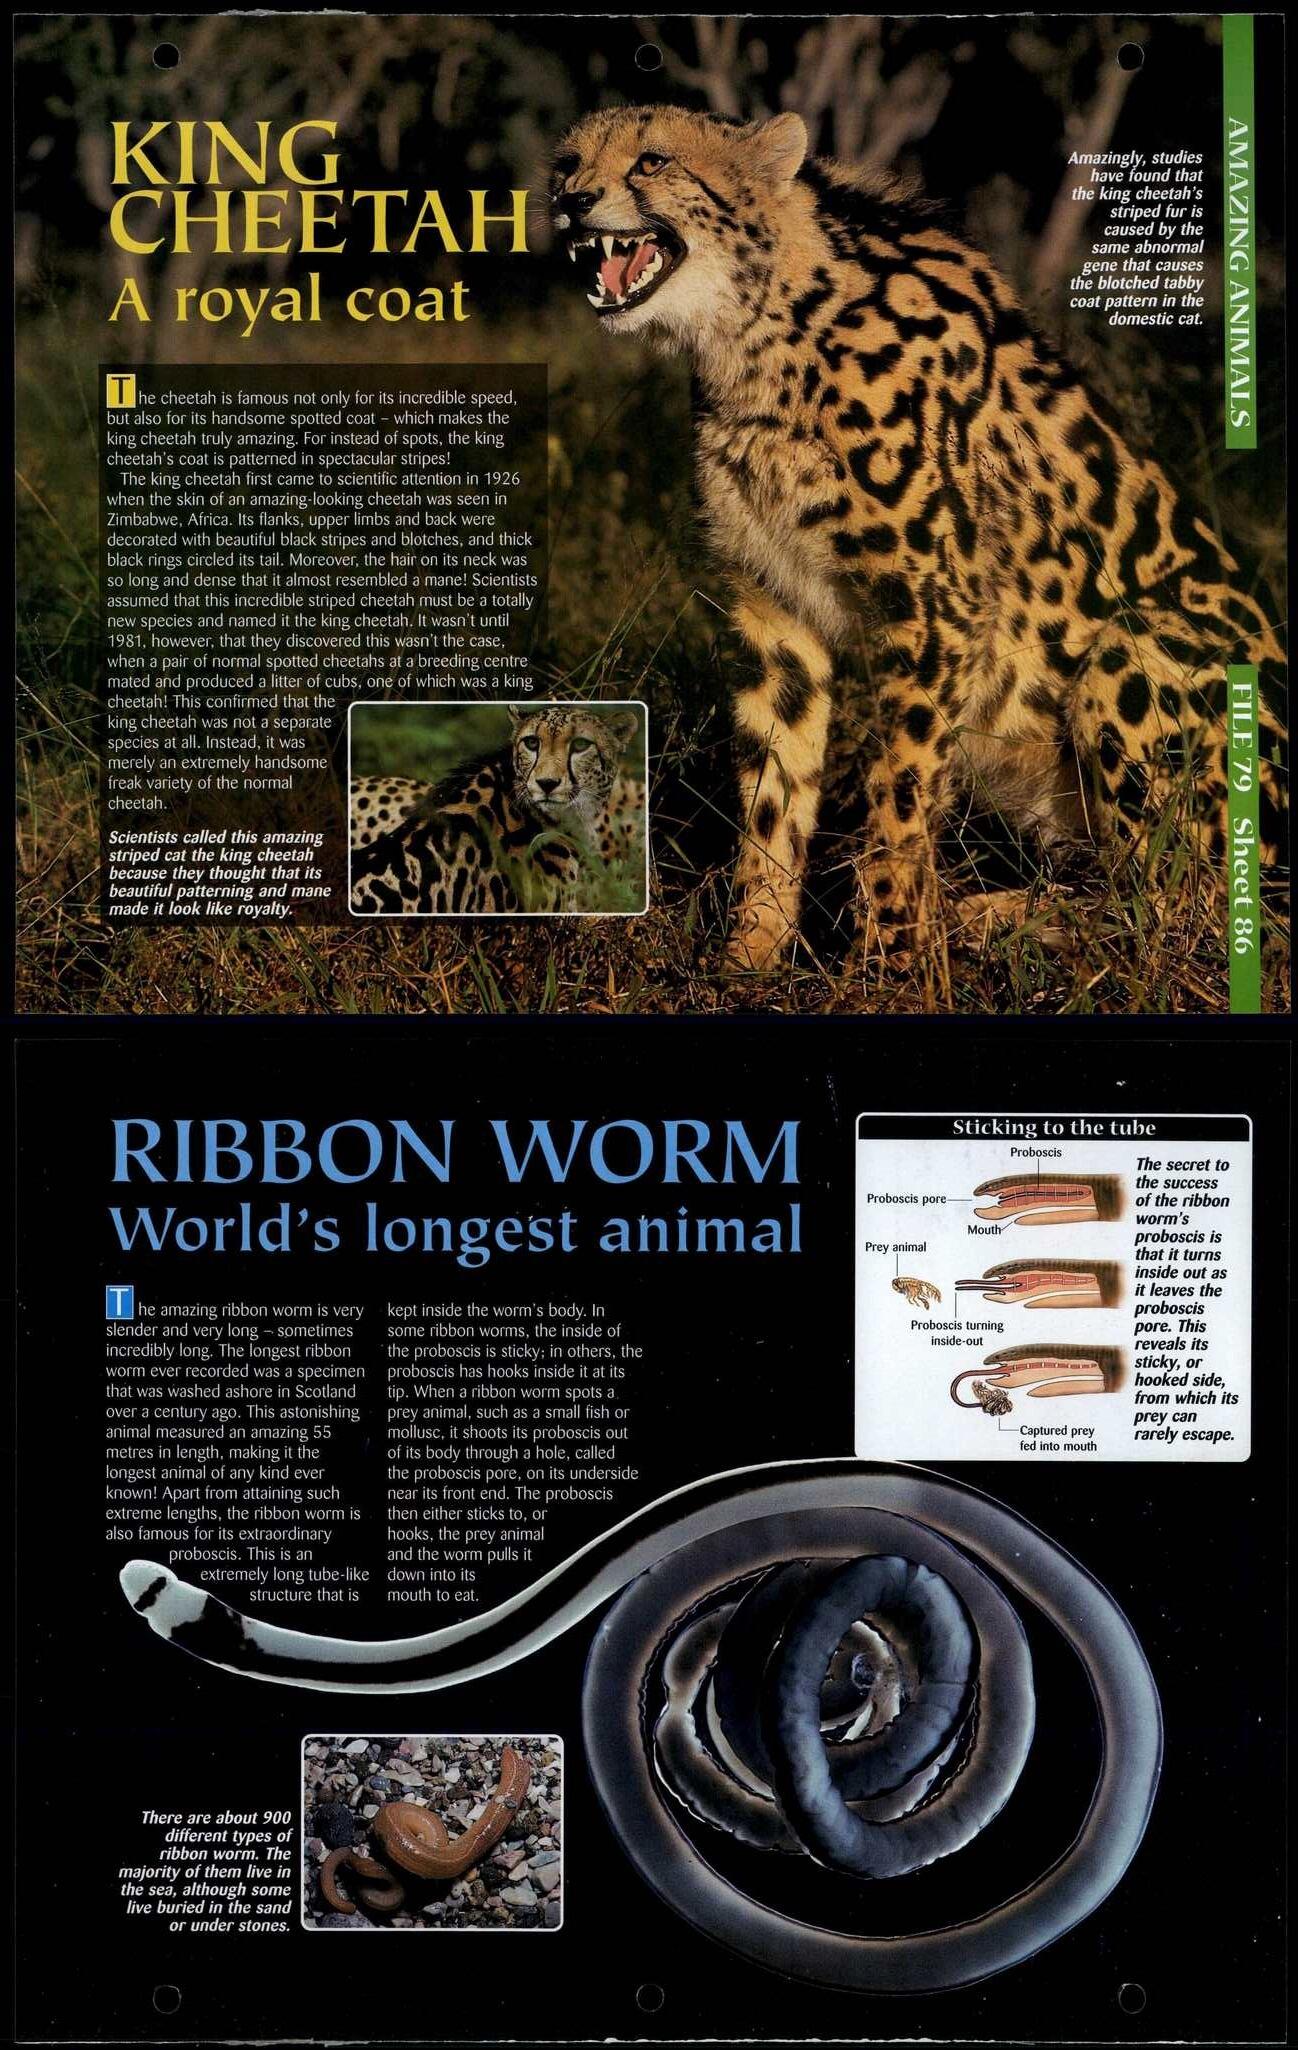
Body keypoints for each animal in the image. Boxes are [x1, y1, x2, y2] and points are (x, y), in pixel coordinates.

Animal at [551, 105, 1287, 971]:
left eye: (653, 161)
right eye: (567, 163)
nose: (569, 203)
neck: (762, 330)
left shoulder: (939, 610)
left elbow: (897, 792)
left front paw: (887, 960)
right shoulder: (774, 611)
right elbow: (773, 795)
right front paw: (754, 951)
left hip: (1134, 650)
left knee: (1180, 909)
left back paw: (1000, 923)